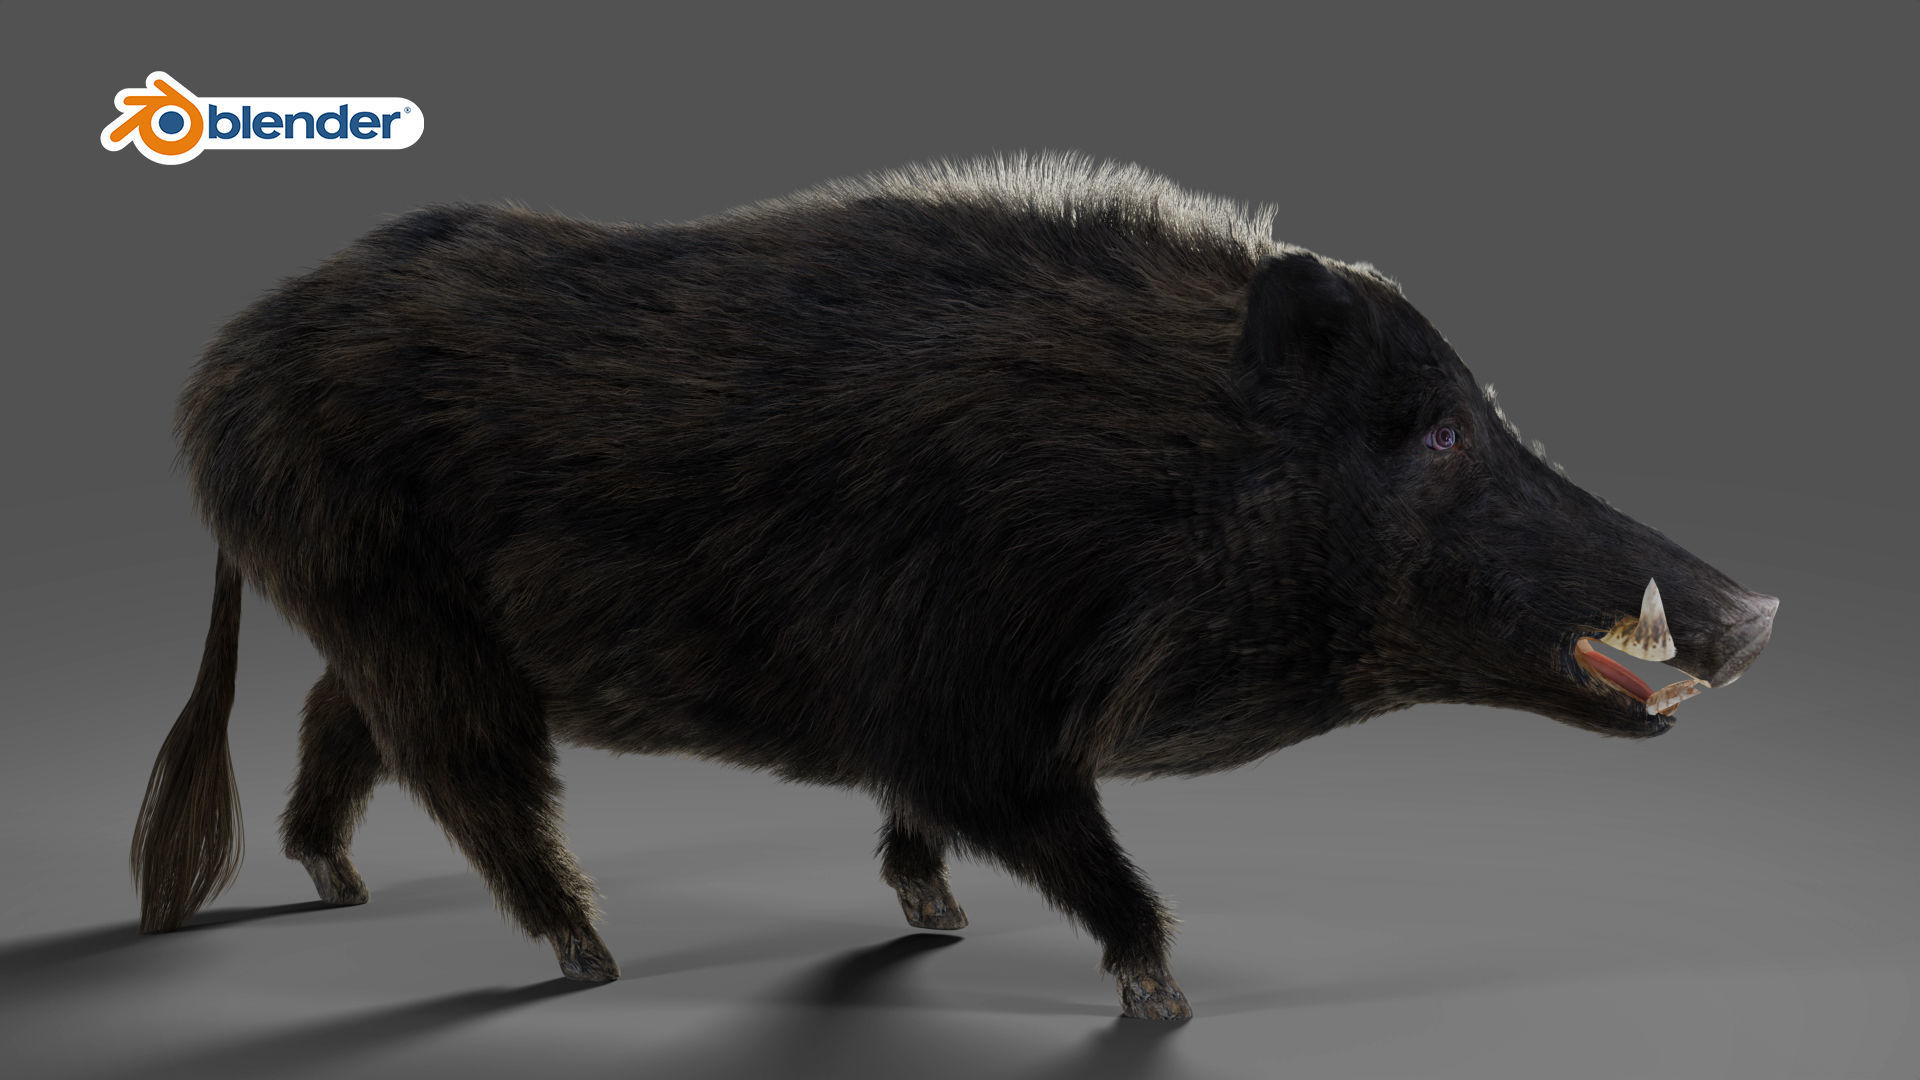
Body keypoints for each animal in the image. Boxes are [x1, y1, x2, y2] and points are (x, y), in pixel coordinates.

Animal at [132, 151, 1779, 1021]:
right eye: (1435, 431)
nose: (1760, 610)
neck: (1159, 474)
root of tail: (219, 370)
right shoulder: (974, 708)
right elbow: (1056, 837)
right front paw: (1164, 999)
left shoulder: (921, 720)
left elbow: (919, 821)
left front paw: (936, 922)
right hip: (411, 614)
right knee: (468, 777)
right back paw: (589, 960)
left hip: (388, 617)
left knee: (339, 725)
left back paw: (334, 881)